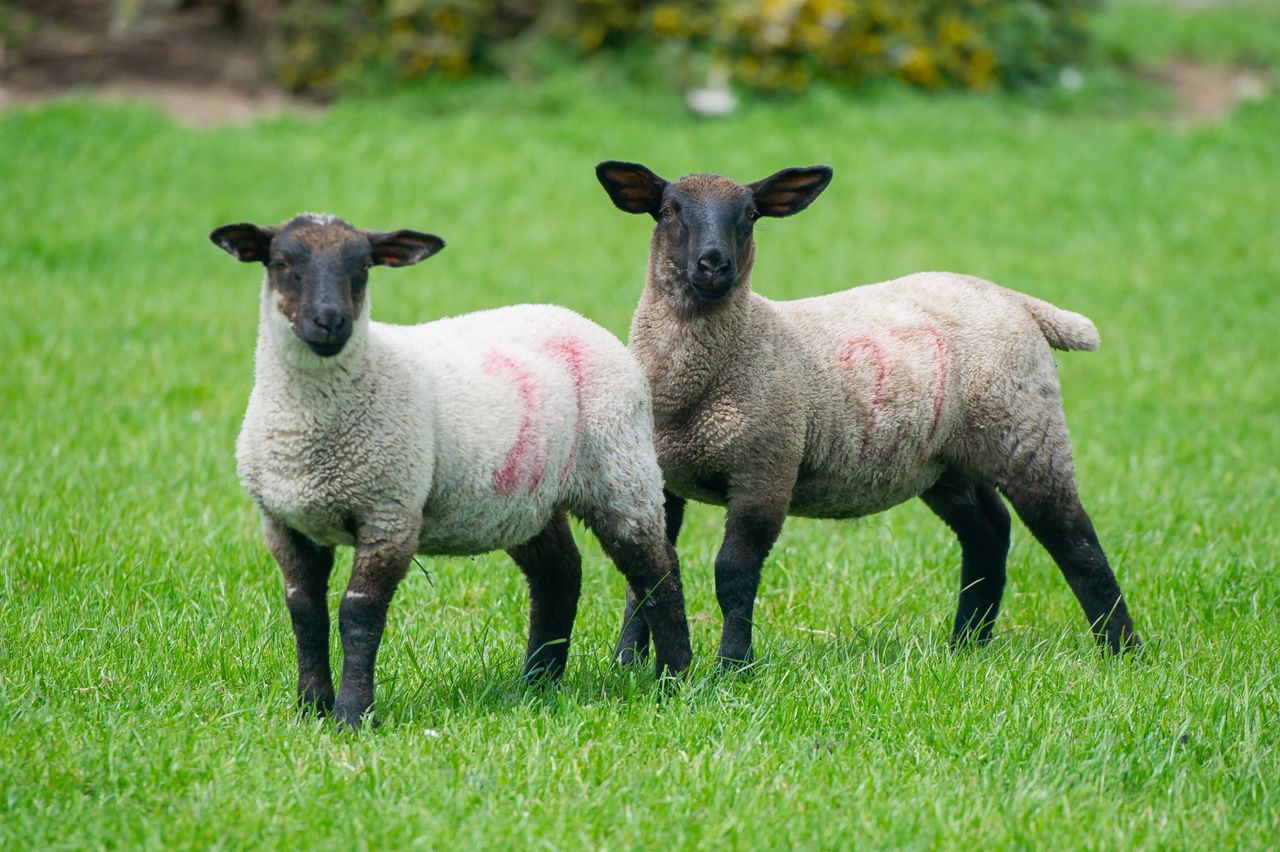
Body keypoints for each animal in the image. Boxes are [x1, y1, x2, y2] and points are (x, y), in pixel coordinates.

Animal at [209, 212, 691, 728]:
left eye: (362, 266)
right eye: (280, 263)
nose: (330, 322)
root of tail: (576, 318)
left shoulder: (390, 514)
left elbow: (359, 614)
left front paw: (353, 715)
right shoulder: (284, 521)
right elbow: (305, 611)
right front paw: (311, 709)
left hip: (621, 471)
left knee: (658, 572)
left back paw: (675, 681)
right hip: (528, 500)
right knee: (559, 575)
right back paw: (537, 684)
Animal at [594, 162, 1141, 667]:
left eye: (749, 215)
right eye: (668, 211)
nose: (713, 265)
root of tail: (1016, 300)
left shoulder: (765, 469)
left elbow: (733, 574)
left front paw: (732, 666)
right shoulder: (660, 478)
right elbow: (646, 578)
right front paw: (627, 662)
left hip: (1026, 430)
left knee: (1074, 539)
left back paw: (1123, 649)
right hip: (944, 460)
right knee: (988, 531)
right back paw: (966, 643)